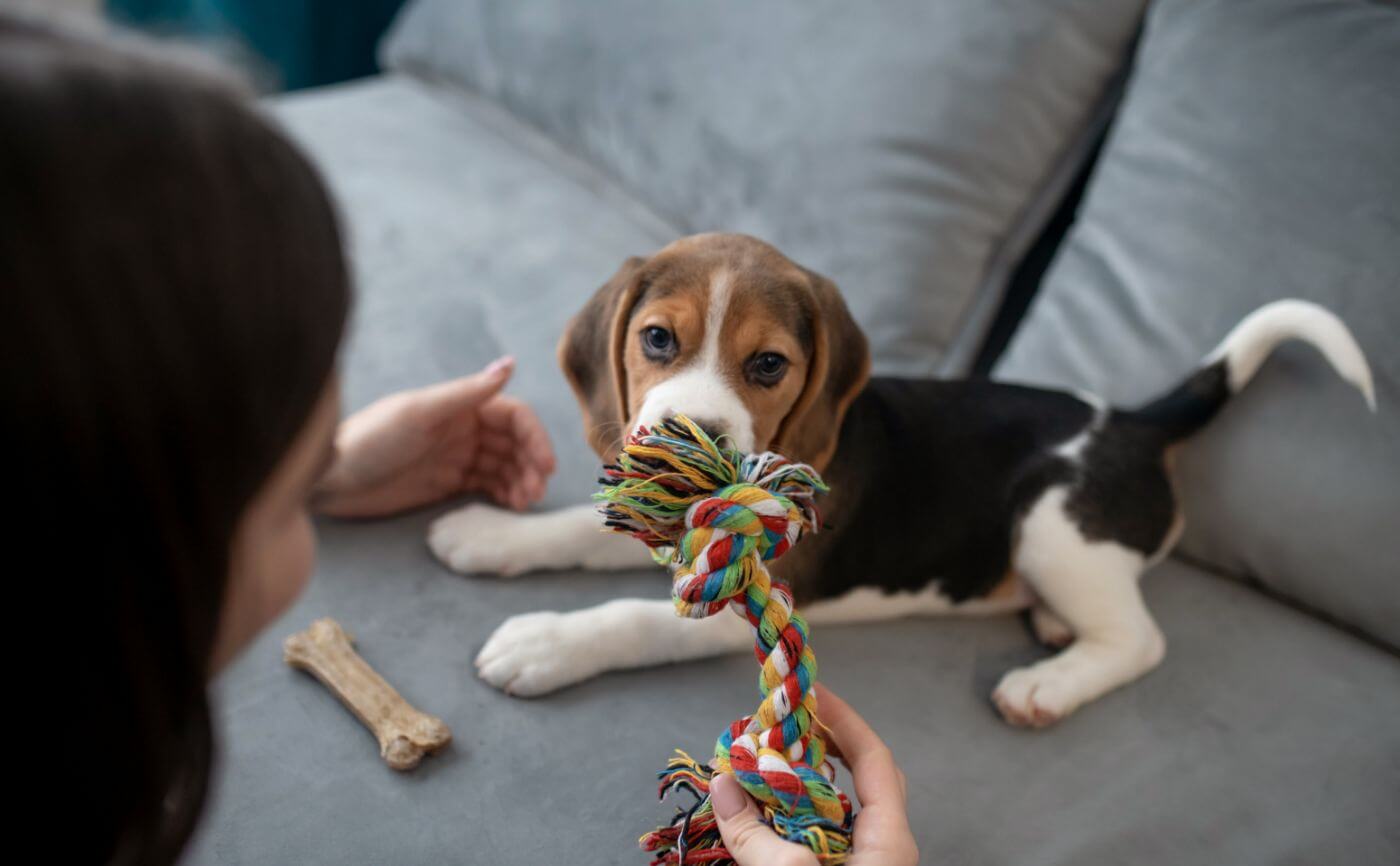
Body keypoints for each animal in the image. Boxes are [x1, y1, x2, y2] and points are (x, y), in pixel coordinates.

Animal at [431, 233, 1372, 727]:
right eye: (657, 339)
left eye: (768, 365)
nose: (683, 438)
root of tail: (1137, 420)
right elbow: (573, 531)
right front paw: (488, 532)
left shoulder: (761, 597)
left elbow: (629, 618)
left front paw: (546, 644)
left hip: (1052, 524)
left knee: (1141, 639)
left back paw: (1048, 684)